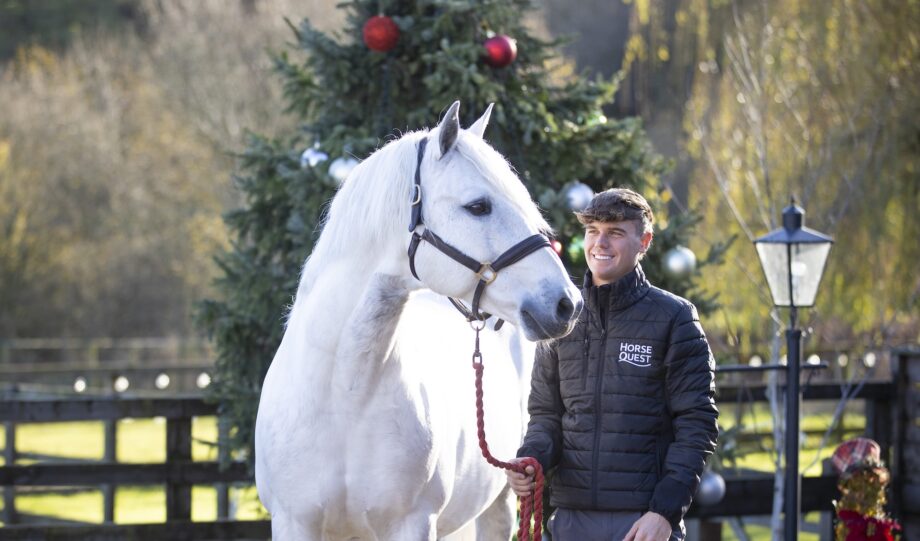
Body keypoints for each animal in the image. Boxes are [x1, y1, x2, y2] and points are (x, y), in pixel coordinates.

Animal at [255, 101, 582, 540]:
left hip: (498, 505)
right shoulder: (293, 523)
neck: (343, 399)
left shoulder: (412, 524)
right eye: (478, 206)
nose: (567, 304)